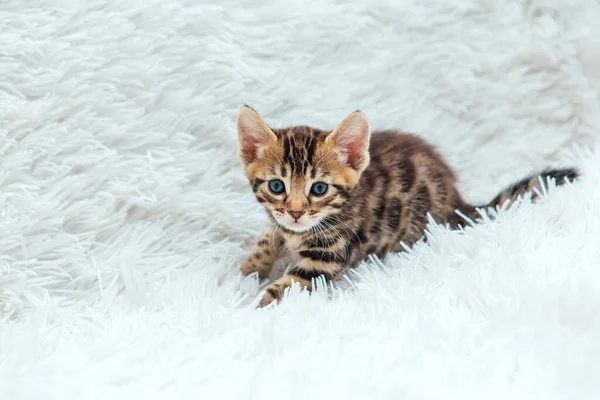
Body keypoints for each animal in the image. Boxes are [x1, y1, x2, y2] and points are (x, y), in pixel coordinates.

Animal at [237, 104, 580, 308]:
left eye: (319, 188)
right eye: (277, 186)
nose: (295, 212)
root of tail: (457, 201)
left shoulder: (327, 257)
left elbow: (286, 285)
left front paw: (250, 308)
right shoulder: (280, 225)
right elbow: (266, 239)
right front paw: (245, 271)